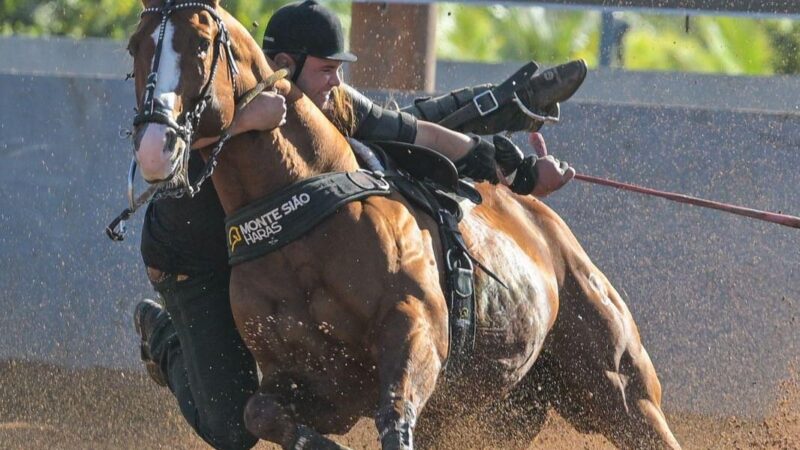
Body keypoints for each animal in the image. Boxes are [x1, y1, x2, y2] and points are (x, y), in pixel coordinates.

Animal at [127, 1, 681, 448]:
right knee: (224, 414)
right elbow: (256, 412)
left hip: (620, 388)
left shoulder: (415, 332)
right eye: (135, 48)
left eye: (200, 45)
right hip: (505, 409)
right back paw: (152, 322)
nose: (156, 145)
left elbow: (394, 415)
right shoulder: (314, 381)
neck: (301, 218)